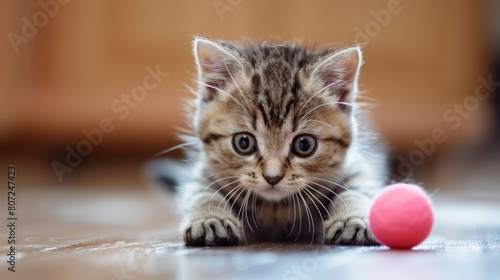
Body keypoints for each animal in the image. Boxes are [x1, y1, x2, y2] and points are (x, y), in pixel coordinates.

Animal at [154, 36, 388, 245]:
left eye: (304, 145)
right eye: (244, 143)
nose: (272, 177)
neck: (275, 210)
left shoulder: (356, 169)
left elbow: (357, 190)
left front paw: (352, 218)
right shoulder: (204, 173)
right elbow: (200, 193)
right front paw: (210, 219)